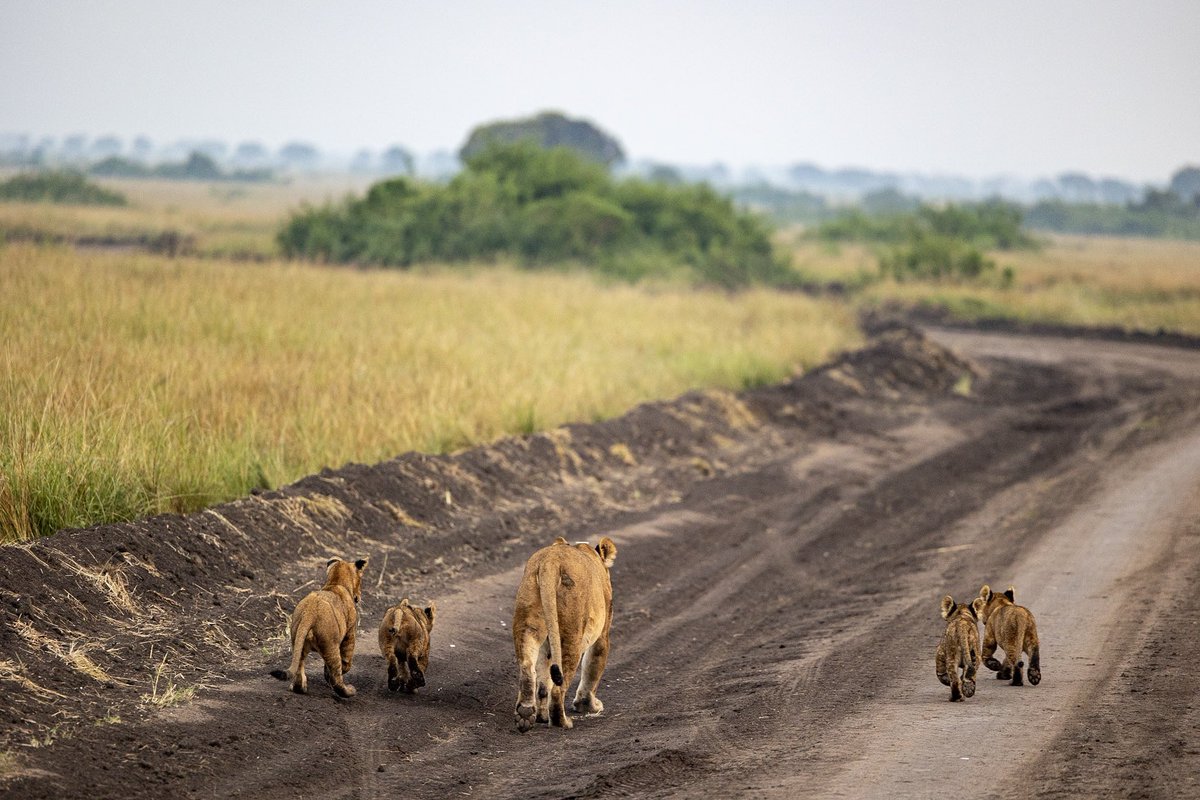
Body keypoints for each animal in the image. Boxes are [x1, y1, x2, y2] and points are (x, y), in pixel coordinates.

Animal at [270, 556, 368, 697]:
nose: (358, 597)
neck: (335, 583)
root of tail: (310, 611)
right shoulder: (350, 634)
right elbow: (346, 661)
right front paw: (333, 674)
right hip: (331, 644)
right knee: (336, 676)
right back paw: (349, 691)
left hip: (298, 640)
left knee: (299, 665)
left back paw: (300, 688)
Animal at [512, 535, 617, 731]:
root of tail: (550, 561)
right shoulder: (602, 634)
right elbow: (593, 668)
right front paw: (588, 705)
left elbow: (544, 681)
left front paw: (541, 716)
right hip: (571, 635)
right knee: (558, 689)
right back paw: (562, 722)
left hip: (528, 621)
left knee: (528, 667)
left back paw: (526, 714)